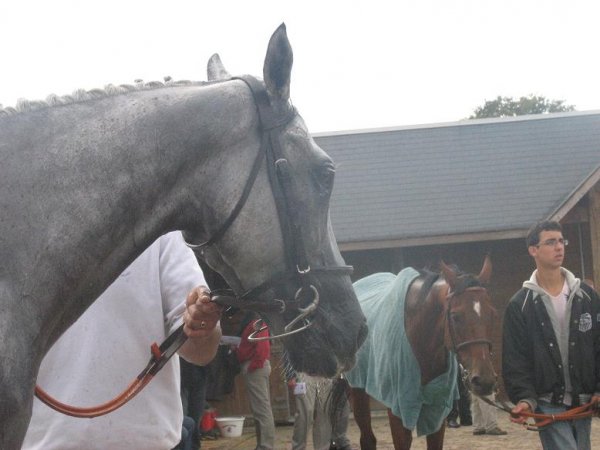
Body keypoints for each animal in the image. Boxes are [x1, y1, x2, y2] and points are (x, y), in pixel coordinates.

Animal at [346, 256, 496, 450]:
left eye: (492, 314)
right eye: (455, 316)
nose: (484, 381)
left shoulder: (437, 409)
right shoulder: (399, 408)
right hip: (357, 391)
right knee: (367, 438)